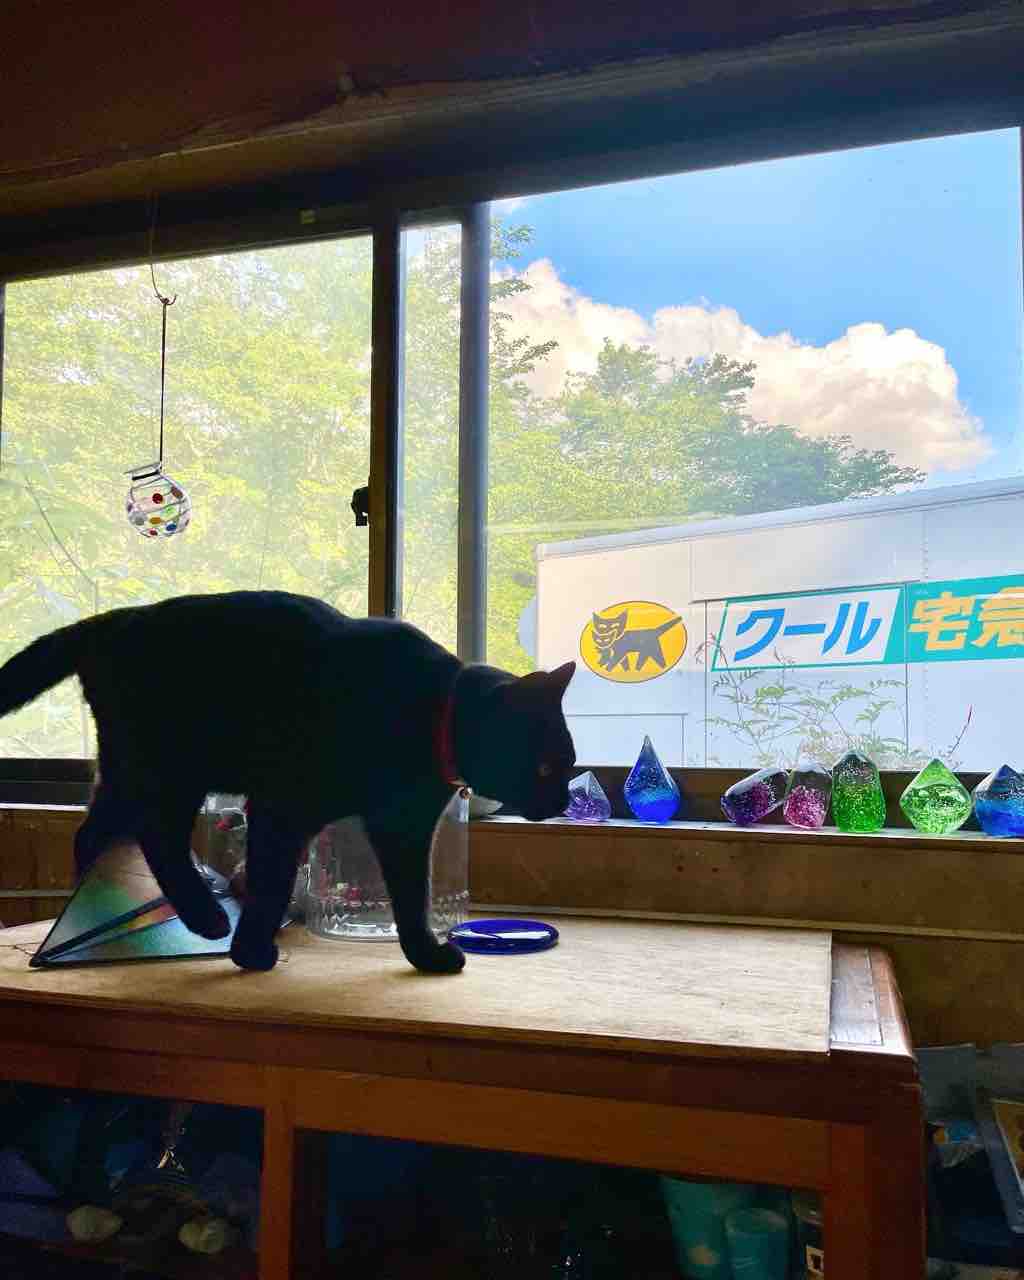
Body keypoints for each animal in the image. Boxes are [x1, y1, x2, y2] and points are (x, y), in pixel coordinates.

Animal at [0, 591, 576, 974]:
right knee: (157, 837)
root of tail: (114, 620)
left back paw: (93, 896)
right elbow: (272, 882)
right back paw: (206, 918)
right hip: (169, 769)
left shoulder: (404, 831)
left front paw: (425, 954)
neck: (432, 711)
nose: (562, 800)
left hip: (129, 771)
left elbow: (413, 898)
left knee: (94, 831)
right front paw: (251, 952)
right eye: (547, 767)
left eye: (567, 766)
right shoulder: (283, 807)